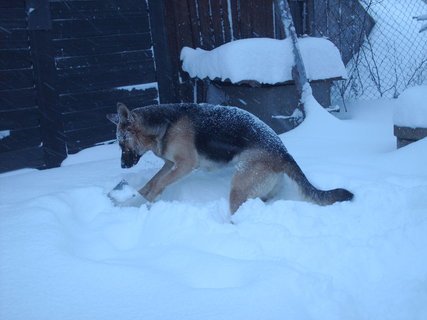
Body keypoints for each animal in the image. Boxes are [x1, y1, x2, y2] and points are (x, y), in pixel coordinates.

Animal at [107, 102, 354, 212]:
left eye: (122, 143)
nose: (123, 166)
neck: (164, 124)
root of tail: (284, 152)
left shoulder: (185, 165)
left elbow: (158, 184)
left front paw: (139, 202)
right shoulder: (171, 164)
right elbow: (152, 181)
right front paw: (131, 198)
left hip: (238, 185)